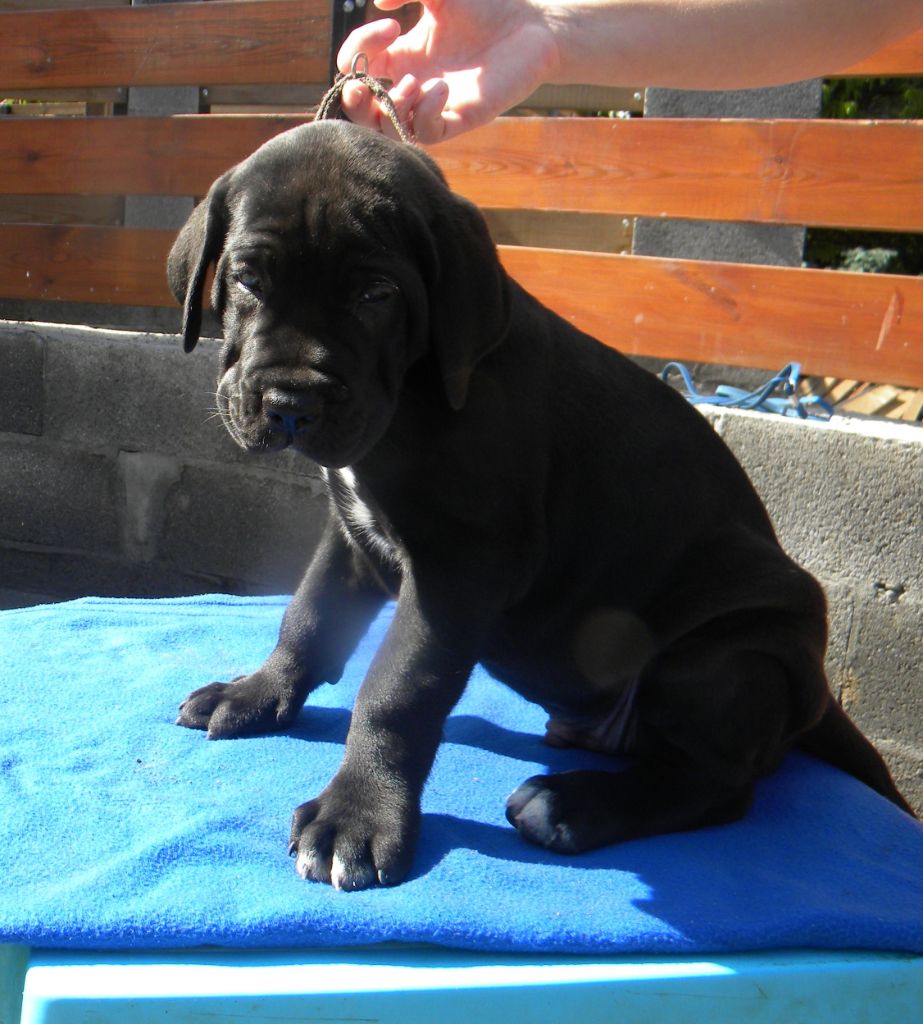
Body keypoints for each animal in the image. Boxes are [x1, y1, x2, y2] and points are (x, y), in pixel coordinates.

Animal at [168, 119, 912, 890]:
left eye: (376, 293)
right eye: (248, 280)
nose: (291, 404)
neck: (414, 396)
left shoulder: (463, 565)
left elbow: (399, 687)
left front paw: (358, 815)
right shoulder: (354, 538)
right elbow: (310, 617)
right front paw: (256, 693)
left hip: (731, 657)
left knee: (718, 783)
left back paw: (572, 805)